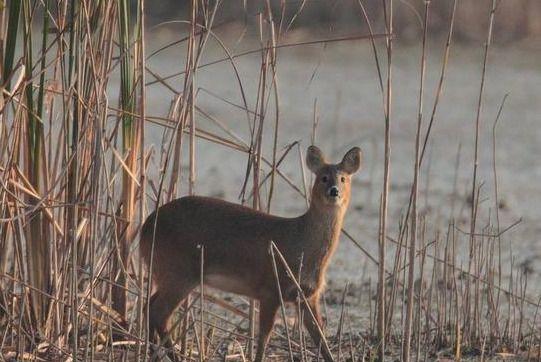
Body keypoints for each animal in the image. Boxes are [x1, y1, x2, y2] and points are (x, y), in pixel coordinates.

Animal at [139, 146, 360, 360]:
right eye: (323, 177)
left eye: (343, 178)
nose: (334, 191)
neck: (300, 245)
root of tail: (144, 230)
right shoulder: (270, 288)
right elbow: (264, 335)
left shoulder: (308, 296)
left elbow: (320, 337)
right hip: (179, 271)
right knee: (159, 313)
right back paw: (171, 355)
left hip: (167, 273)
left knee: (149, 306)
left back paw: (151, 351)